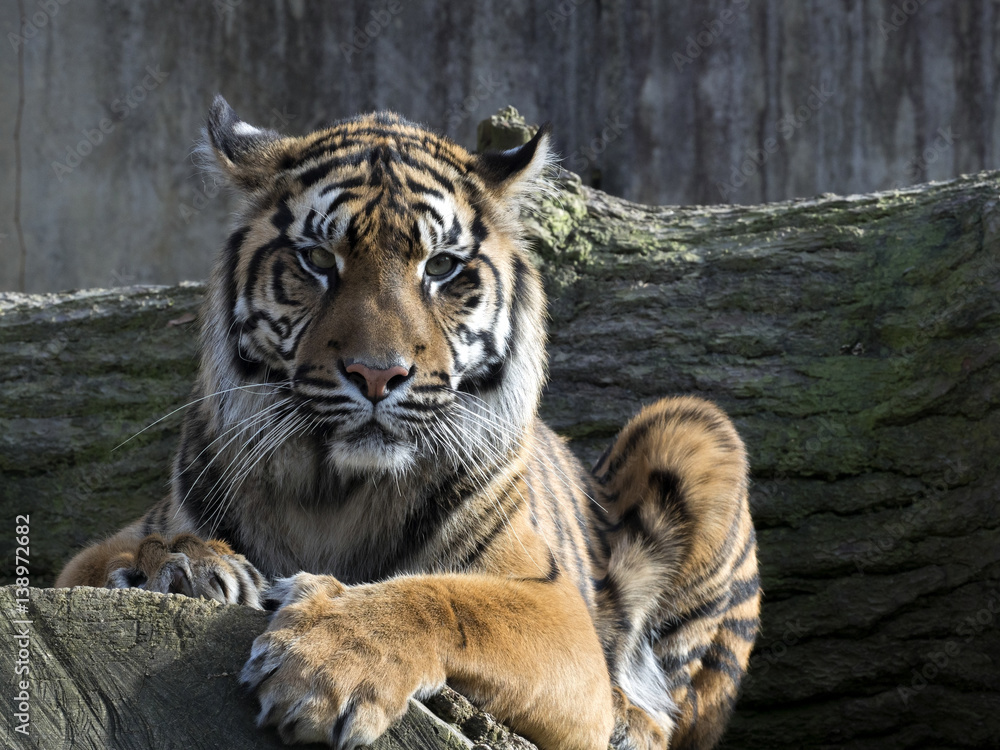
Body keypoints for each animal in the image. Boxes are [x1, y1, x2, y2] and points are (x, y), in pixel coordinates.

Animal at [52, 98, 756, 750]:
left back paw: (632, 721)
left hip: (696, 425)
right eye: (317, 259)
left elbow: (449, 599)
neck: (331, 492)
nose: (375, 374)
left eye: (440, 266)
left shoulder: (557, 609)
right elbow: (125, 551)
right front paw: (183, 565)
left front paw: (325, 663)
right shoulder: (85, 560)